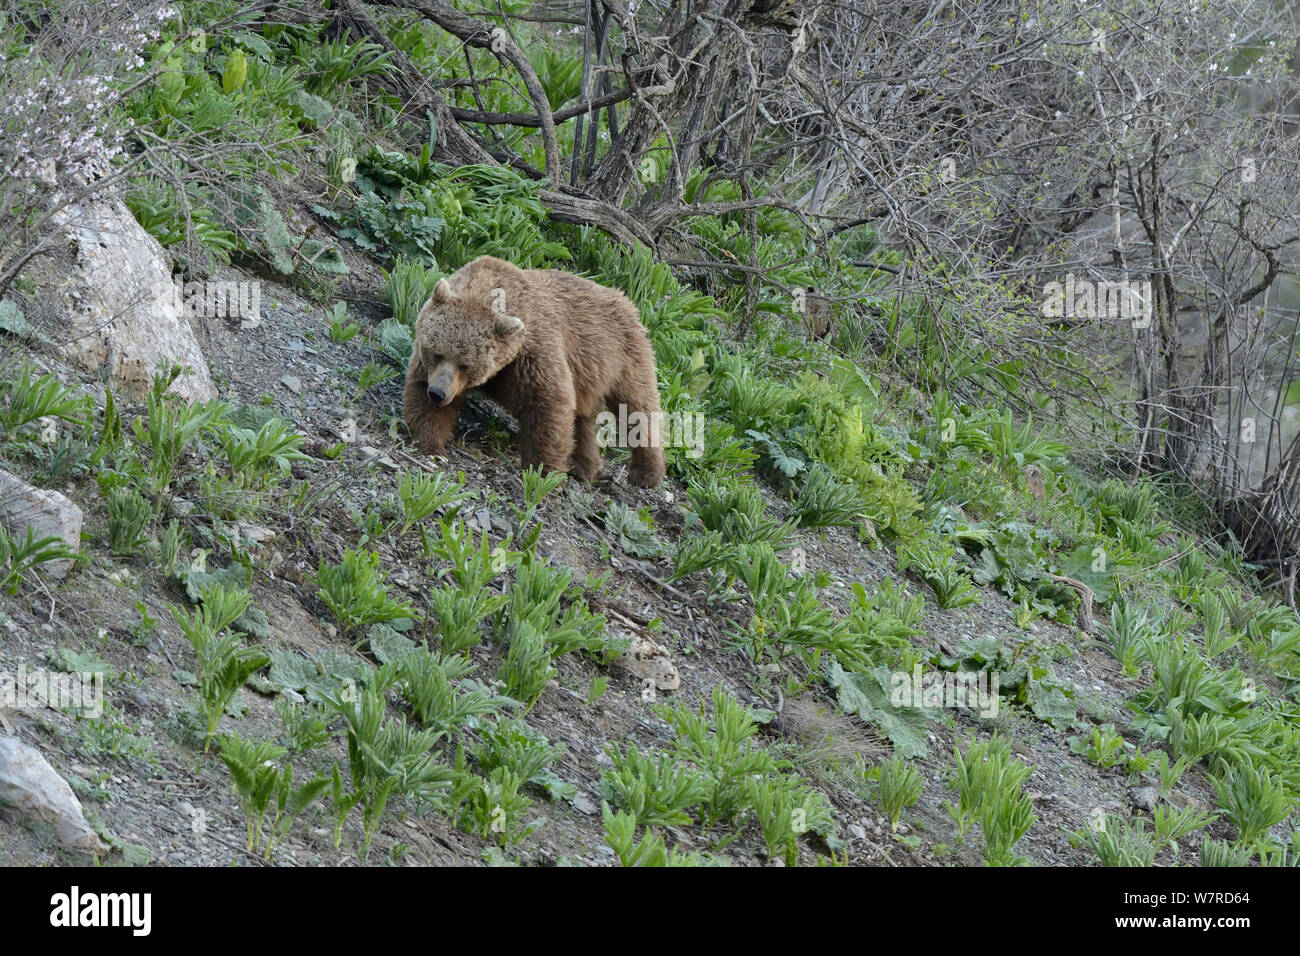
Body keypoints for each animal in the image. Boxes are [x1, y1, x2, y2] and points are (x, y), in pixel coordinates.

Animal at [403, 256, 670, 486]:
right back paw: (585, 467)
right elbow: (422, 395)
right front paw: (430, 444)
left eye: (465, 364)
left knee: (638, 407)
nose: (438, 393)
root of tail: (625, 299)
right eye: (436, 353)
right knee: (583, 421)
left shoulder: (533, 353)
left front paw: (542, 471)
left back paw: (646, 473)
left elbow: (548, 403)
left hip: (625, 355)